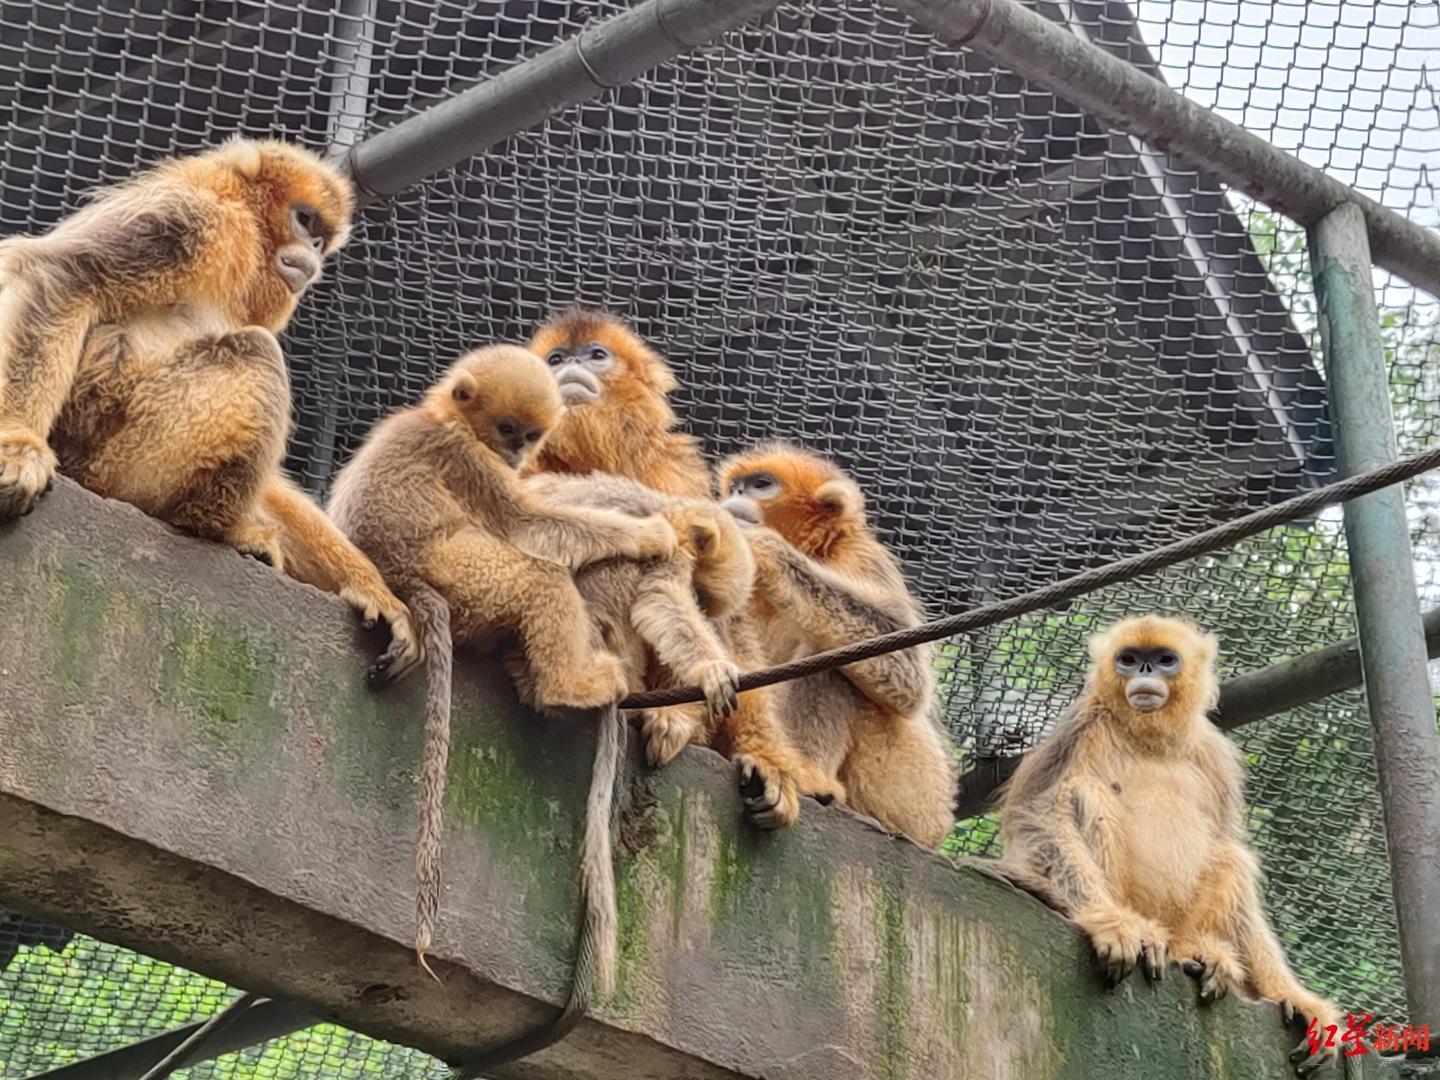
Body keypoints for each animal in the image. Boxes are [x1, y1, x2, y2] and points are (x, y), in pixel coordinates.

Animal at [329, 344, 676, 979]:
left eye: (530, 435)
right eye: (507, 430)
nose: (515, 453)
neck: (446, 419)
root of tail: (403, 580)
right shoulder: (468, 459)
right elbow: (529, 526)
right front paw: (648, 536)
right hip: (463, 571)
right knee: (538, 574)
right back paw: (570, 684)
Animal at [717, 443, 956, 852]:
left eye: (761, 485)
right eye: (735, 487)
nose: (734, 497)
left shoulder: (862, 557)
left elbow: (909, 678)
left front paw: (766, 548)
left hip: (917, 795)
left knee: (832, 655)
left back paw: (808, 778)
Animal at [996, 613, 1342, 1077]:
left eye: (1164, 660)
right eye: (1128, 659)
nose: (1144, 671)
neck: (1150, 740)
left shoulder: (1215, 753)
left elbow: (1226, 838)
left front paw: (1291, 994)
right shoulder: (1080, 724)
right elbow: (1035, 817)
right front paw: (1112, 924)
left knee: (1231, 854)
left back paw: (1201, 954)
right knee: (1084, 792)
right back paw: (1143, 932)